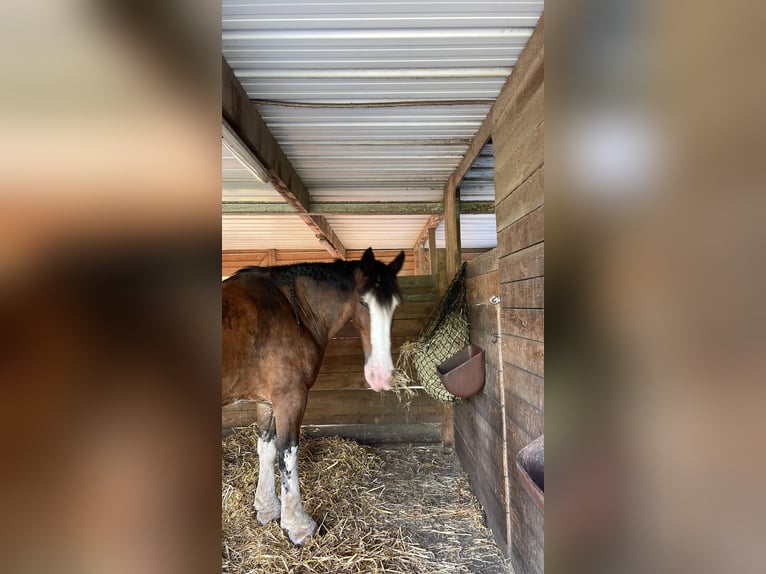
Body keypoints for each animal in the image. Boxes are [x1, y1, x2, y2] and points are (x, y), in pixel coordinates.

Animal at [222, 248, 404, 544]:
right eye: (363, 302)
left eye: (395, 305)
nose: (381, 374)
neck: (291, 309)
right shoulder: (290, 398)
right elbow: (287, 456)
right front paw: (297, 526)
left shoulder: (266, 401)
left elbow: (266, 450)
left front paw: (266, 508)